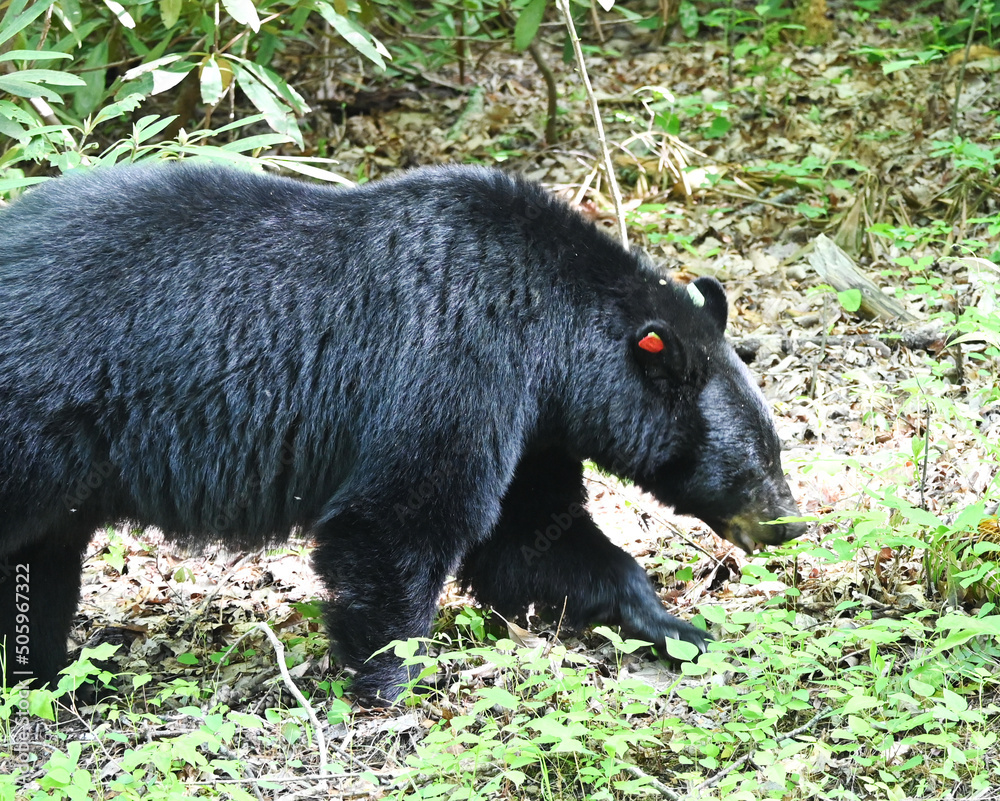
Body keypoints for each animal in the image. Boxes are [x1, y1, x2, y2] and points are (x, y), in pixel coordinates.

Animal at [0, 164, 804, 702]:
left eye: (774, 445)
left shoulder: (531, 428)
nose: (791, 524)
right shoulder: (455, 365)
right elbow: (399, 518)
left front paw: (675, 625)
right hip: (35, 417)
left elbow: (532, 538)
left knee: (43, 567)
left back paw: (48, 673)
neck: (548, 335)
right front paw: (392, 679)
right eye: (755, 458)